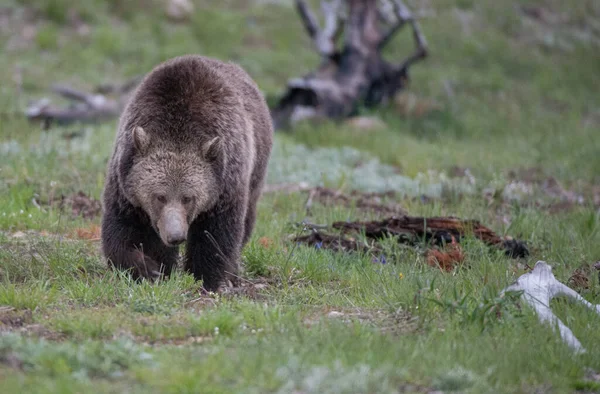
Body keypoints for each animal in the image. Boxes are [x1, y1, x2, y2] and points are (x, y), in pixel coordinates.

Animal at [101, 54, 274, 290]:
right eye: (160, 196)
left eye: (188, 198)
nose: (175, 236)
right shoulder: (125, 182)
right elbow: (121, 231)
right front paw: (149, 269)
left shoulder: (225, 183)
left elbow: (216, 236)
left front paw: (205, 277)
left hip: (256, 170)